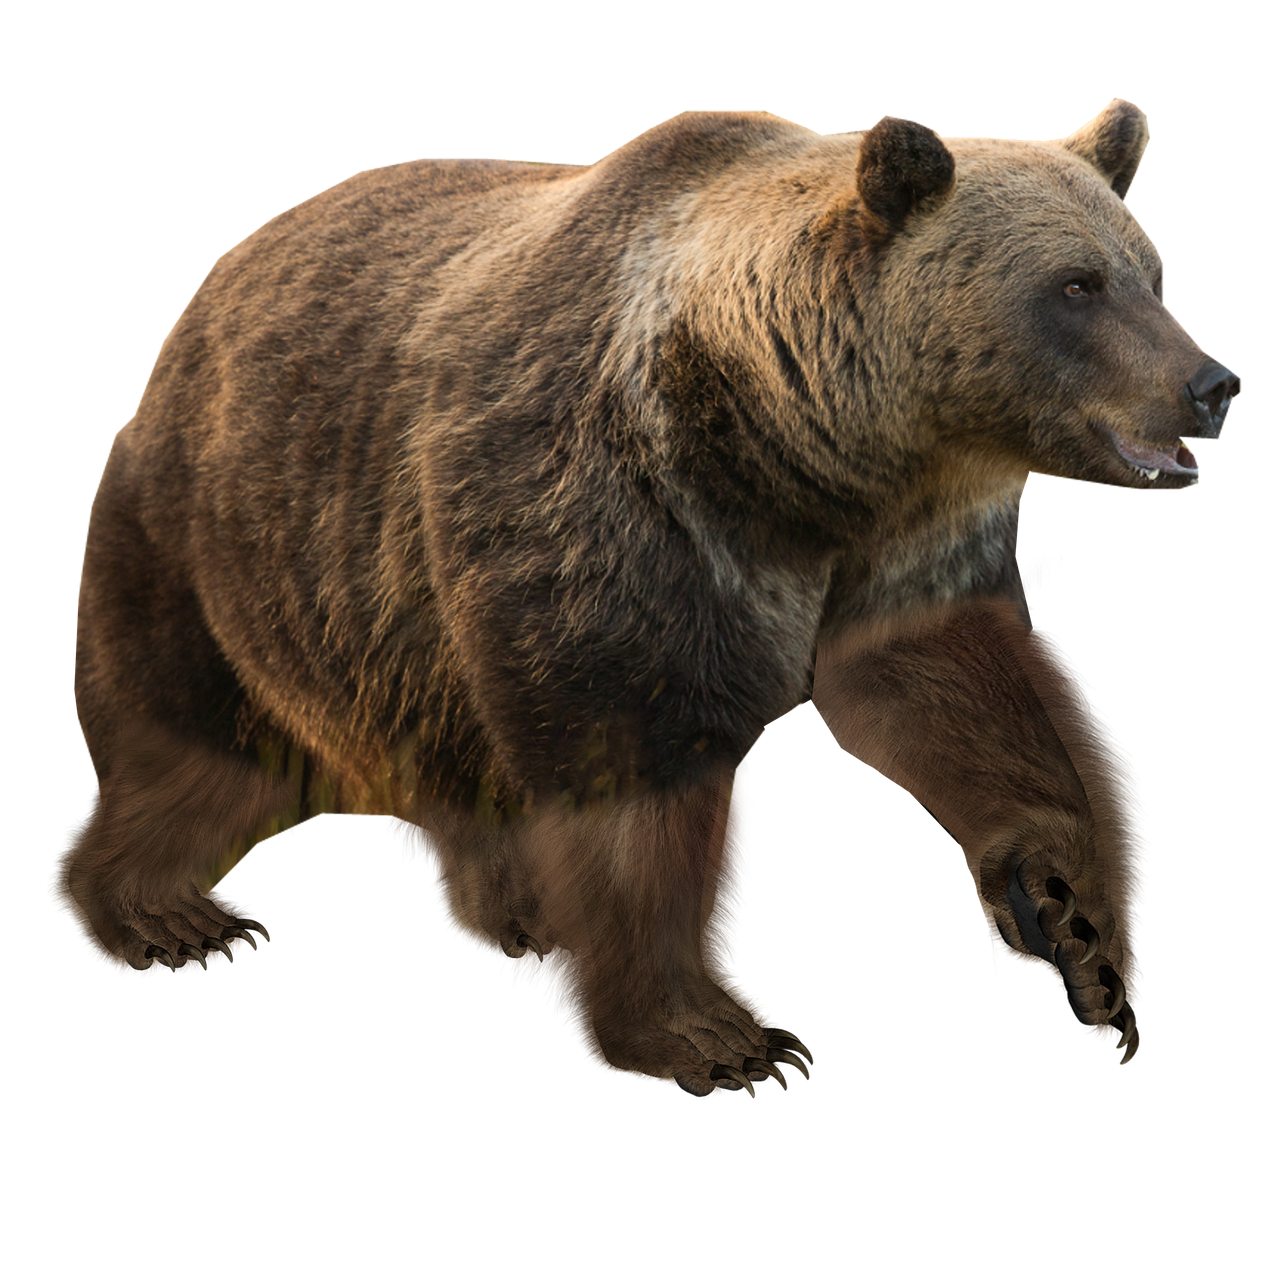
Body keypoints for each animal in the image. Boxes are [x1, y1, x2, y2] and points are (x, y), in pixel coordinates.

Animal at [52, 101, 1238, 1096]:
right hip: (240, 531)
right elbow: (633, 767)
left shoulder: (905, 540)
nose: (1211, 386)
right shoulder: (619, 513)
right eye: (1074, 285)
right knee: (195, 734)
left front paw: (1080, 934)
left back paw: (514, 910)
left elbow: (959, 691)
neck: (800, 449)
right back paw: (168, 913)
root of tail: (219, 276)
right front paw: (718, 1038)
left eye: (1150, 268)